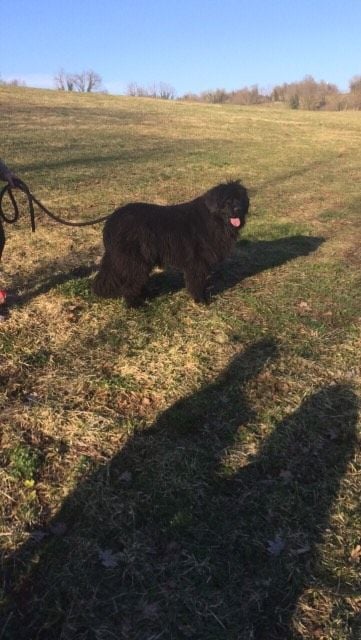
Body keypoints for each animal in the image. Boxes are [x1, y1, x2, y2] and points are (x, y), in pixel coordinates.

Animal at [93, 180, 248, 308]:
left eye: (241, 199)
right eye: (228, 200)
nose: (238, 209)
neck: (214, 219)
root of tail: (112, 219)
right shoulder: (197, 262)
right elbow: (197, 281)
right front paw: (201, 300)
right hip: (135, 261)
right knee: (130, 283)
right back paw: (135, 304)